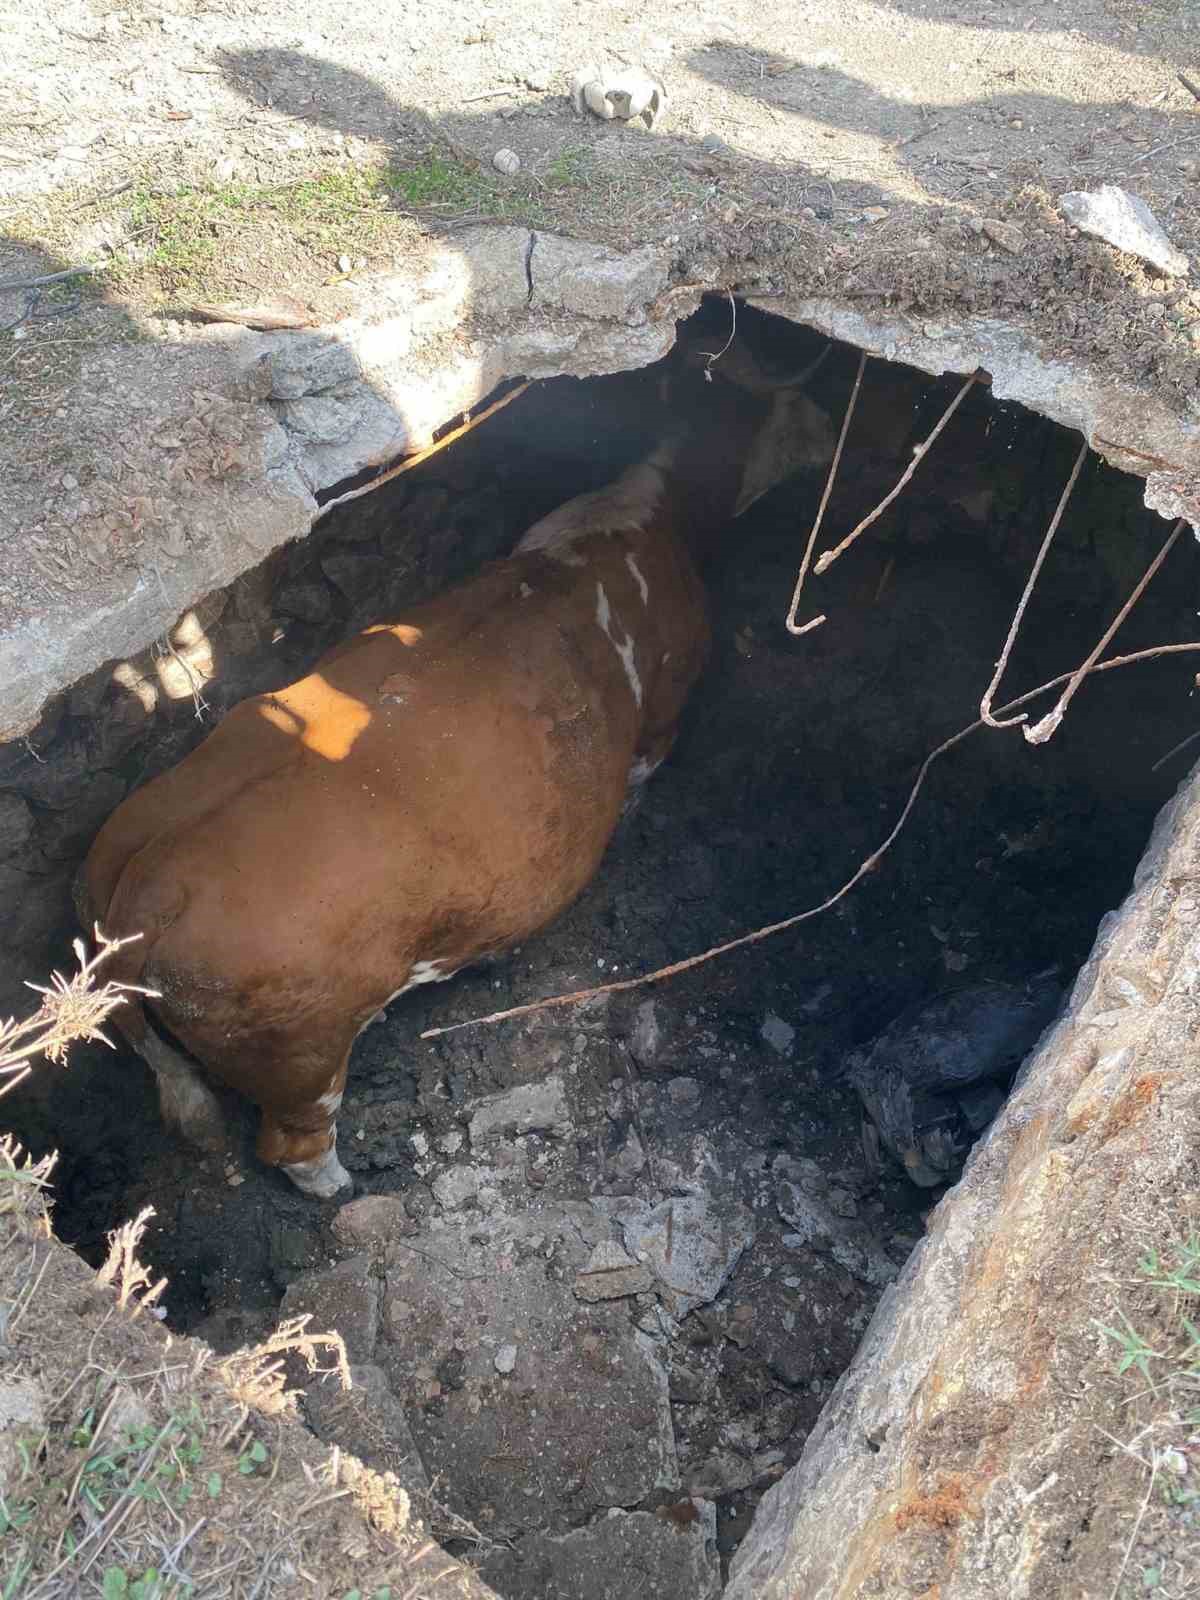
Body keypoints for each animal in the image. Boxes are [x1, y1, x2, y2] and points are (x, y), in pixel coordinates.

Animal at [80, 340, 832, 1190]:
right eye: (795, 406)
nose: (837, 432)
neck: (640, 517)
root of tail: (145, 881)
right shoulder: (664, 715)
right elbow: (641, 781)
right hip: (302, 1050)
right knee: (295, 1148)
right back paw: (341, 1185)